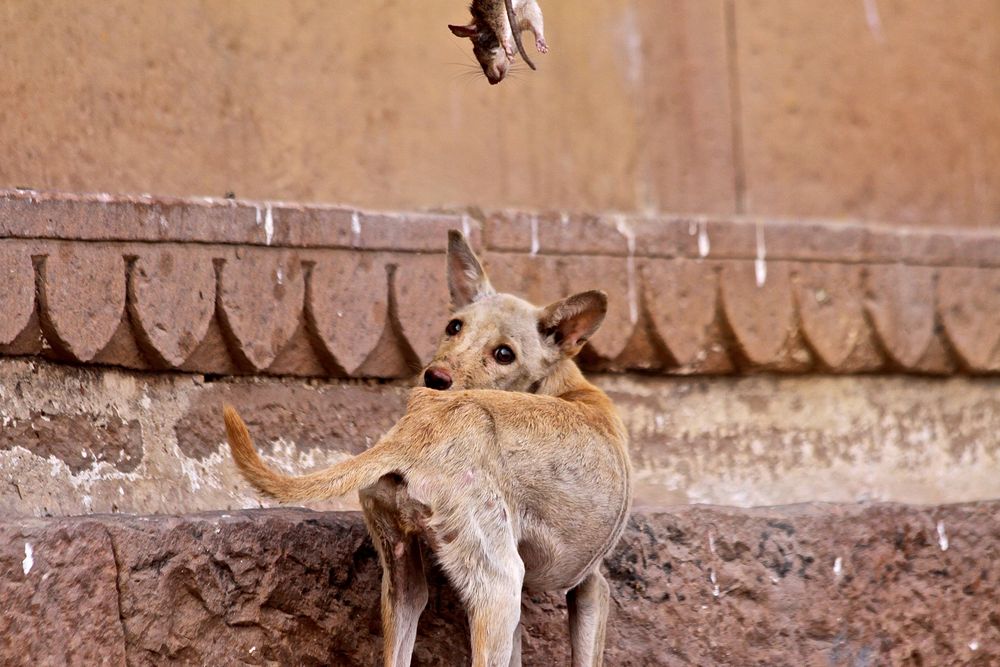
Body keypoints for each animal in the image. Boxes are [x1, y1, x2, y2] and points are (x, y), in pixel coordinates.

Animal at [227, 231, 632, 667]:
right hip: (499, 587)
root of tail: (416, 430)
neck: (565, 384)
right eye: (454, 326)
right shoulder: (592, 586)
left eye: (504, 354)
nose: (434, 378)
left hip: (402, 583)